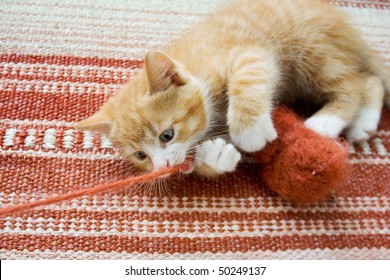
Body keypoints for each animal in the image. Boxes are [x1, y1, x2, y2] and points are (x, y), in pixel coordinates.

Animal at [77, 0, 390, 177]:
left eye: (167, 135)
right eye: (140, 156)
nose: (162, 168)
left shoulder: (250, 53)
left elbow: (248, 79)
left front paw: (249, 130)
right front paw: (214, 158)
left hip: (312, 48)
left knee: (355, 84)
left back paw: (325, 123)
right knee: (369, 80)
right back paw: (362, 123)